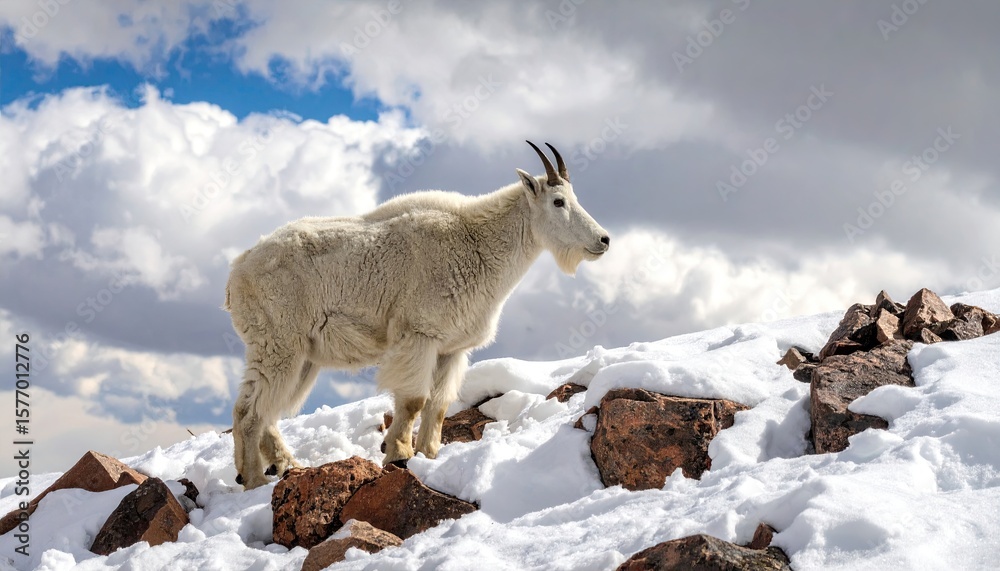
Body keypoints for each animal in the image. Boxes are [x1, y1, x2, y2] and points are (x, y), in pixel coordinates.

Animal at [225, 141, 609, 489]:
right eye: (558, 202)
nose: (603, 240)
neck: (478, 243)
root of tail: (236, 273)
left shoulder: (452, 348)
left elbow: (438, 404)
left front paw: (429, 455)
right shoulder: (419, 335)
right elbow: (413, 400)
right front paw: (398, 453)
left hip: (302, 355)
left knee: (266, 409)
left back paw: (285, 465)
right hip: (278, 343)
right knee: (250, 411)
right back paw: (253, 478)